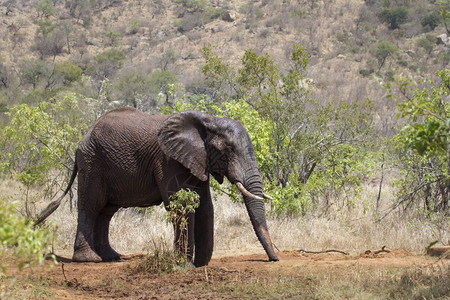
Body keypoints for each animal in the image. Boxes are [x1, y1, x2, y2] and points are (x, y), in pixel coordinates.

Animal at [35, 106, 280, 266]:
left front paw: (200, 264)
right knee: (92, 206)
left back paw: (111, 257)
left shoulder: (198, 160)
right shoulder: (168, 160)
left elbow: (205, 208)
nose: (274, 258)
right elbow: (181, 206)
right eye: (228, 150)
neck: (208, 120)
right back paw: (89, 260)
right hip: (92, 163)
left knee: (106, 211)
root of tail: (82, 139)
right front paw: (185, 265)